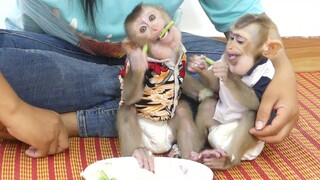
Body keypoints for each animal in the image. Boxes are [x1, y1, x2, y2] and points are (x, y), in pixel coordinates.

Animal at [117, 3, 202, 171]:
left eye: (152, 17)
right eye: (143, 29)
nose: (155, 28)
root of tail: (159, 148)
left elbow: (185, 81)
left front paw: (205, 91)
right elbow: (128, 95)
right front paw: (137, 60)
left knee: (182, 111)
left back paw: (189, 156)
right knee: (127, 108)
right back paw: (138, 152)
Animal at [189, 13, 284, 169]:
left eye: (240, 41)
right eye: (231, 38)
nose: (230, 46)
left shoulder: (265, 77)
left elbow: (257, 101)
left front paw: (228, 74)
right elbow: (215, 85)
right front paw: (199, 65)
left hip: (249, 141)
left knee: (251, 116)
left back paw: (226, 161)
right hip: (216, 125)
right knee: (208, 105)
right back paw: (198, 154)